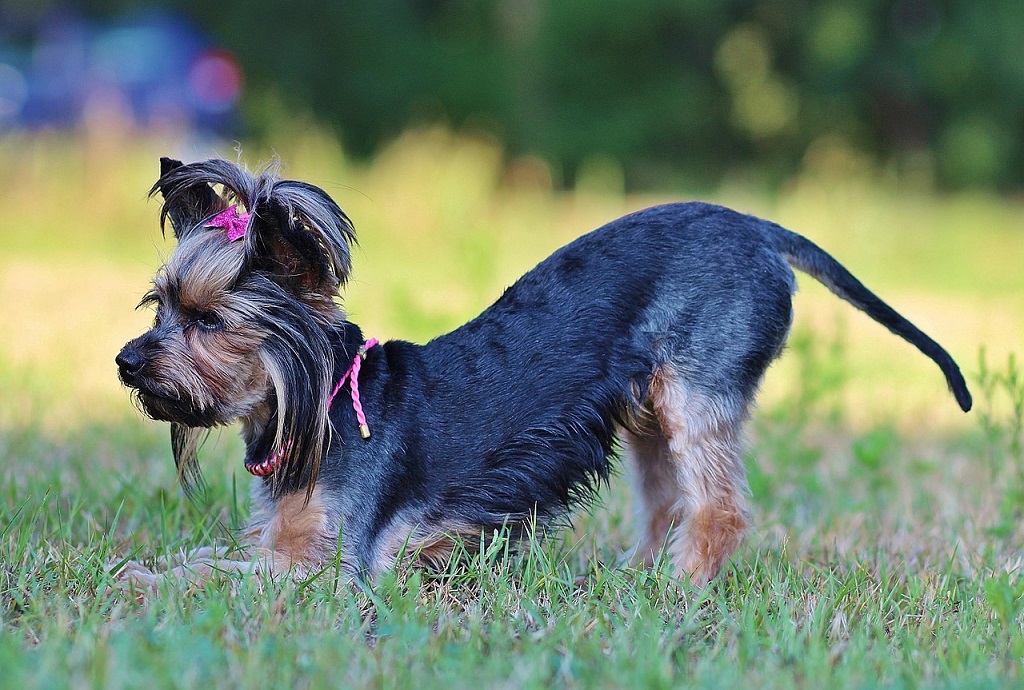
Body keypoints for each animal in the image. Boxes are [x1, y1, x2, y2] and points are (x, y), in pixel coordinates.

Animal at [116, 158, 970, 589]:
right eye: (159, 306)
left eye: (209, 321)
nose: (125, 360)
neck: (316, 402)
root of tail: (760, 227)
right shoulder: (288, 538)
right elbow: (206, 558)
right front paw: (147, 569)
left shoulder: (331, 565)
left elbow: (223, 574)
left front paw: (142, 584)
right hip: (649, 406)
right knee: (667, 503)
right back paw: (636, 581)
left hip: (698, 390)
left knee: (718, 511)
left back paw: (678, 593)